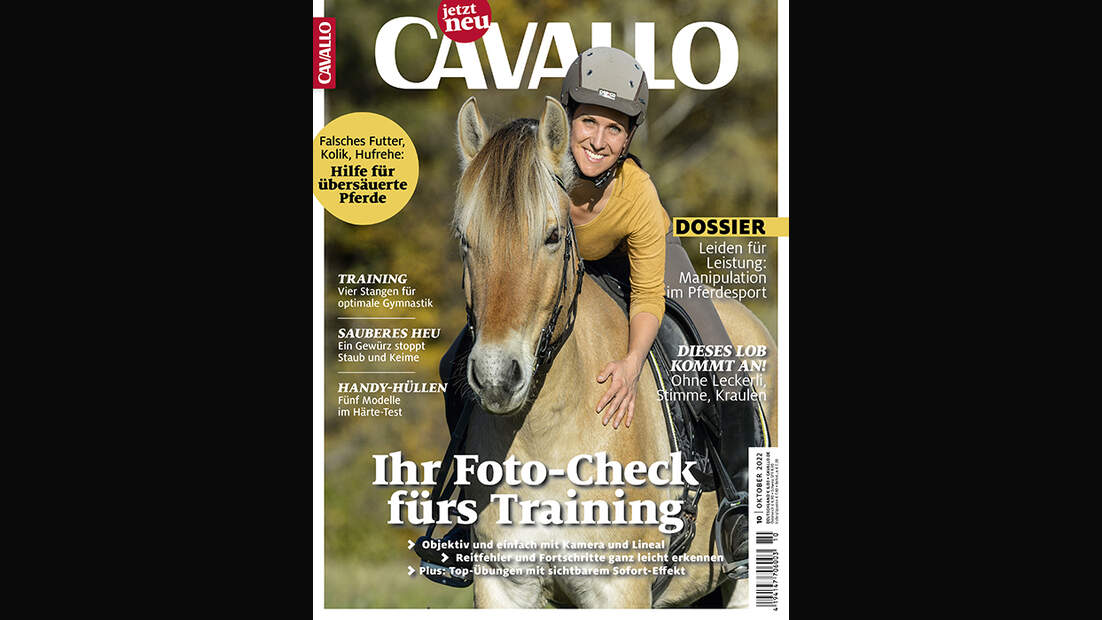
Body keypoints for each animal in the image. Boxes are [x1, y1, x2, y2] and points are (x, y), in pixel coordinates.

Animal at [450, 95, 778, 608]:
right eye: (465, 239)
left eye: (552, 236)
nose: (497, 377)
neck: (546, 432)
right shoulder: (504, 584)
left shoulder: (619, 586)